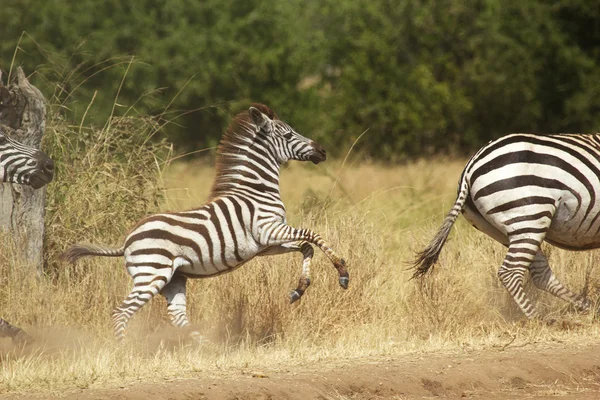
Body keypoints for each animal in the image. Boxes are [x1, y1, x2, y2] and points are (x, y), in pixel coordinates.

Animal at [63, 103, 350, 340]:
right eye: (289, 135)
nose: (322, 151)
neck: (256, 190)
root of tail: (126, 240)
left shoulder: (265, 245)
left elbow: (306, 246)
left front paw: (299, 289)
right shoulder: (267, 230)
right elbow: (313, 235)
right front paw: (342, 272)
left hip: (173, 278)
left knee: (178, 317)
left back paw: (205, 349)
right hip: (151, 274)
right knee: (121, 312)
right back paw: (125, 352)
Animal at [412, 134, 600, 318]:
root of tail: (471, 166)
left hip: (503, 228)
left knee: (539, 273)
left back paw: (588, 309)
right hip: (529, 217)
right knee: (511, 272)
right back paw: (539, 320)